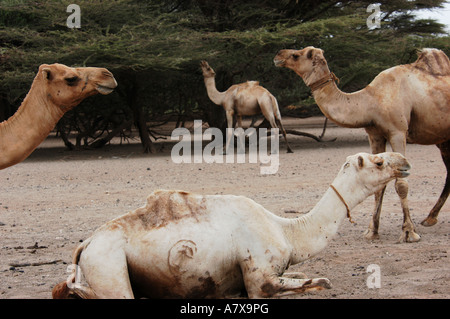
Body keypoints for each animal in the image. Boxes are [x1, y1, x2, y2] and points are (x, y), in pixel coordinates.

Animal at [53, 152, 412, 300]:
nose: (405, 161)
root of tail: (86, 244)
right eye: (379, 161)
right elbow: (320, 281)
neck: (287, 231)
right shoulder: (259, 278)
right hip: (108, 263)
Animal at [272, 47, 450, 242]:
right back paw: (430, 218)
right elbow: (379, 184)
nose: (278, 55)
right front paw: (372, 231)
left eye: (296, 55)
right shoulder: (375, 134)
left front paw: (409, 232)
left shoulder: (398, 132)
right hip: (443, 139)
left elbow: (401, 184)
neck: (371, 101)